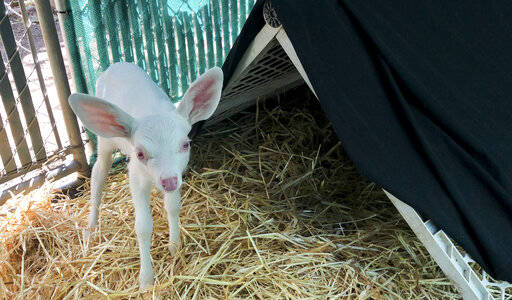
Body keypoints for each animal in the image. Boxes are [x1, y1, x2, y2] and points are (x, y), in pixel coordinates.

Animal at [67, 62, 222, 288]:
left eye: (186, 144)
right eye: (140, 153)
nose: (168, 182)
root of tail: (116, 64)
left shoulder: (176, 174)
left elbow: (173, 207)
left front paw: (174, 245)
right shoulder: (136, 177)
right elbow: (143, 226)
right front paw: (146, 279)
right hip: (105, 140)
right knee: (98, 173)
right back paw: (91, 227)